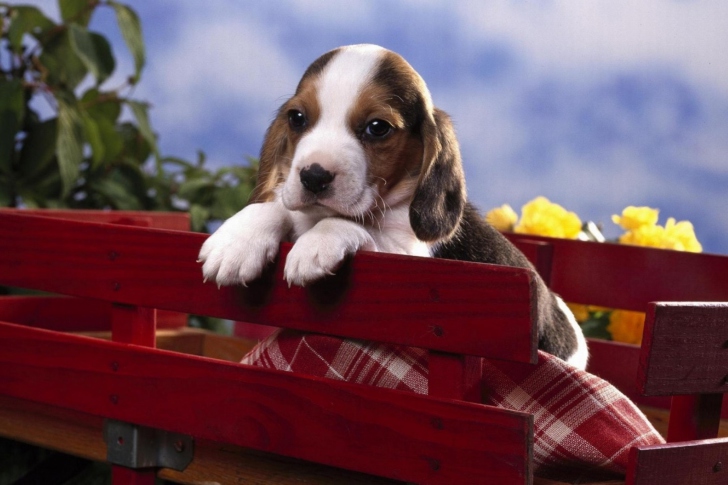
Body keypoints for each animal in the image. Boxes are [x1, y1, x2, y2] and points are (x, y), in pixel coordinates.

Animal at [199, 44, 592, 366]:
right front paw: (236, 243)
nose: (313, 176)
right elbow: (275, 207)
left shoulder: (405, 254)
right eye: (297, 118)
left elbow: (355, 227)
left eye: (378, 128)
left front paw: (316, 245)